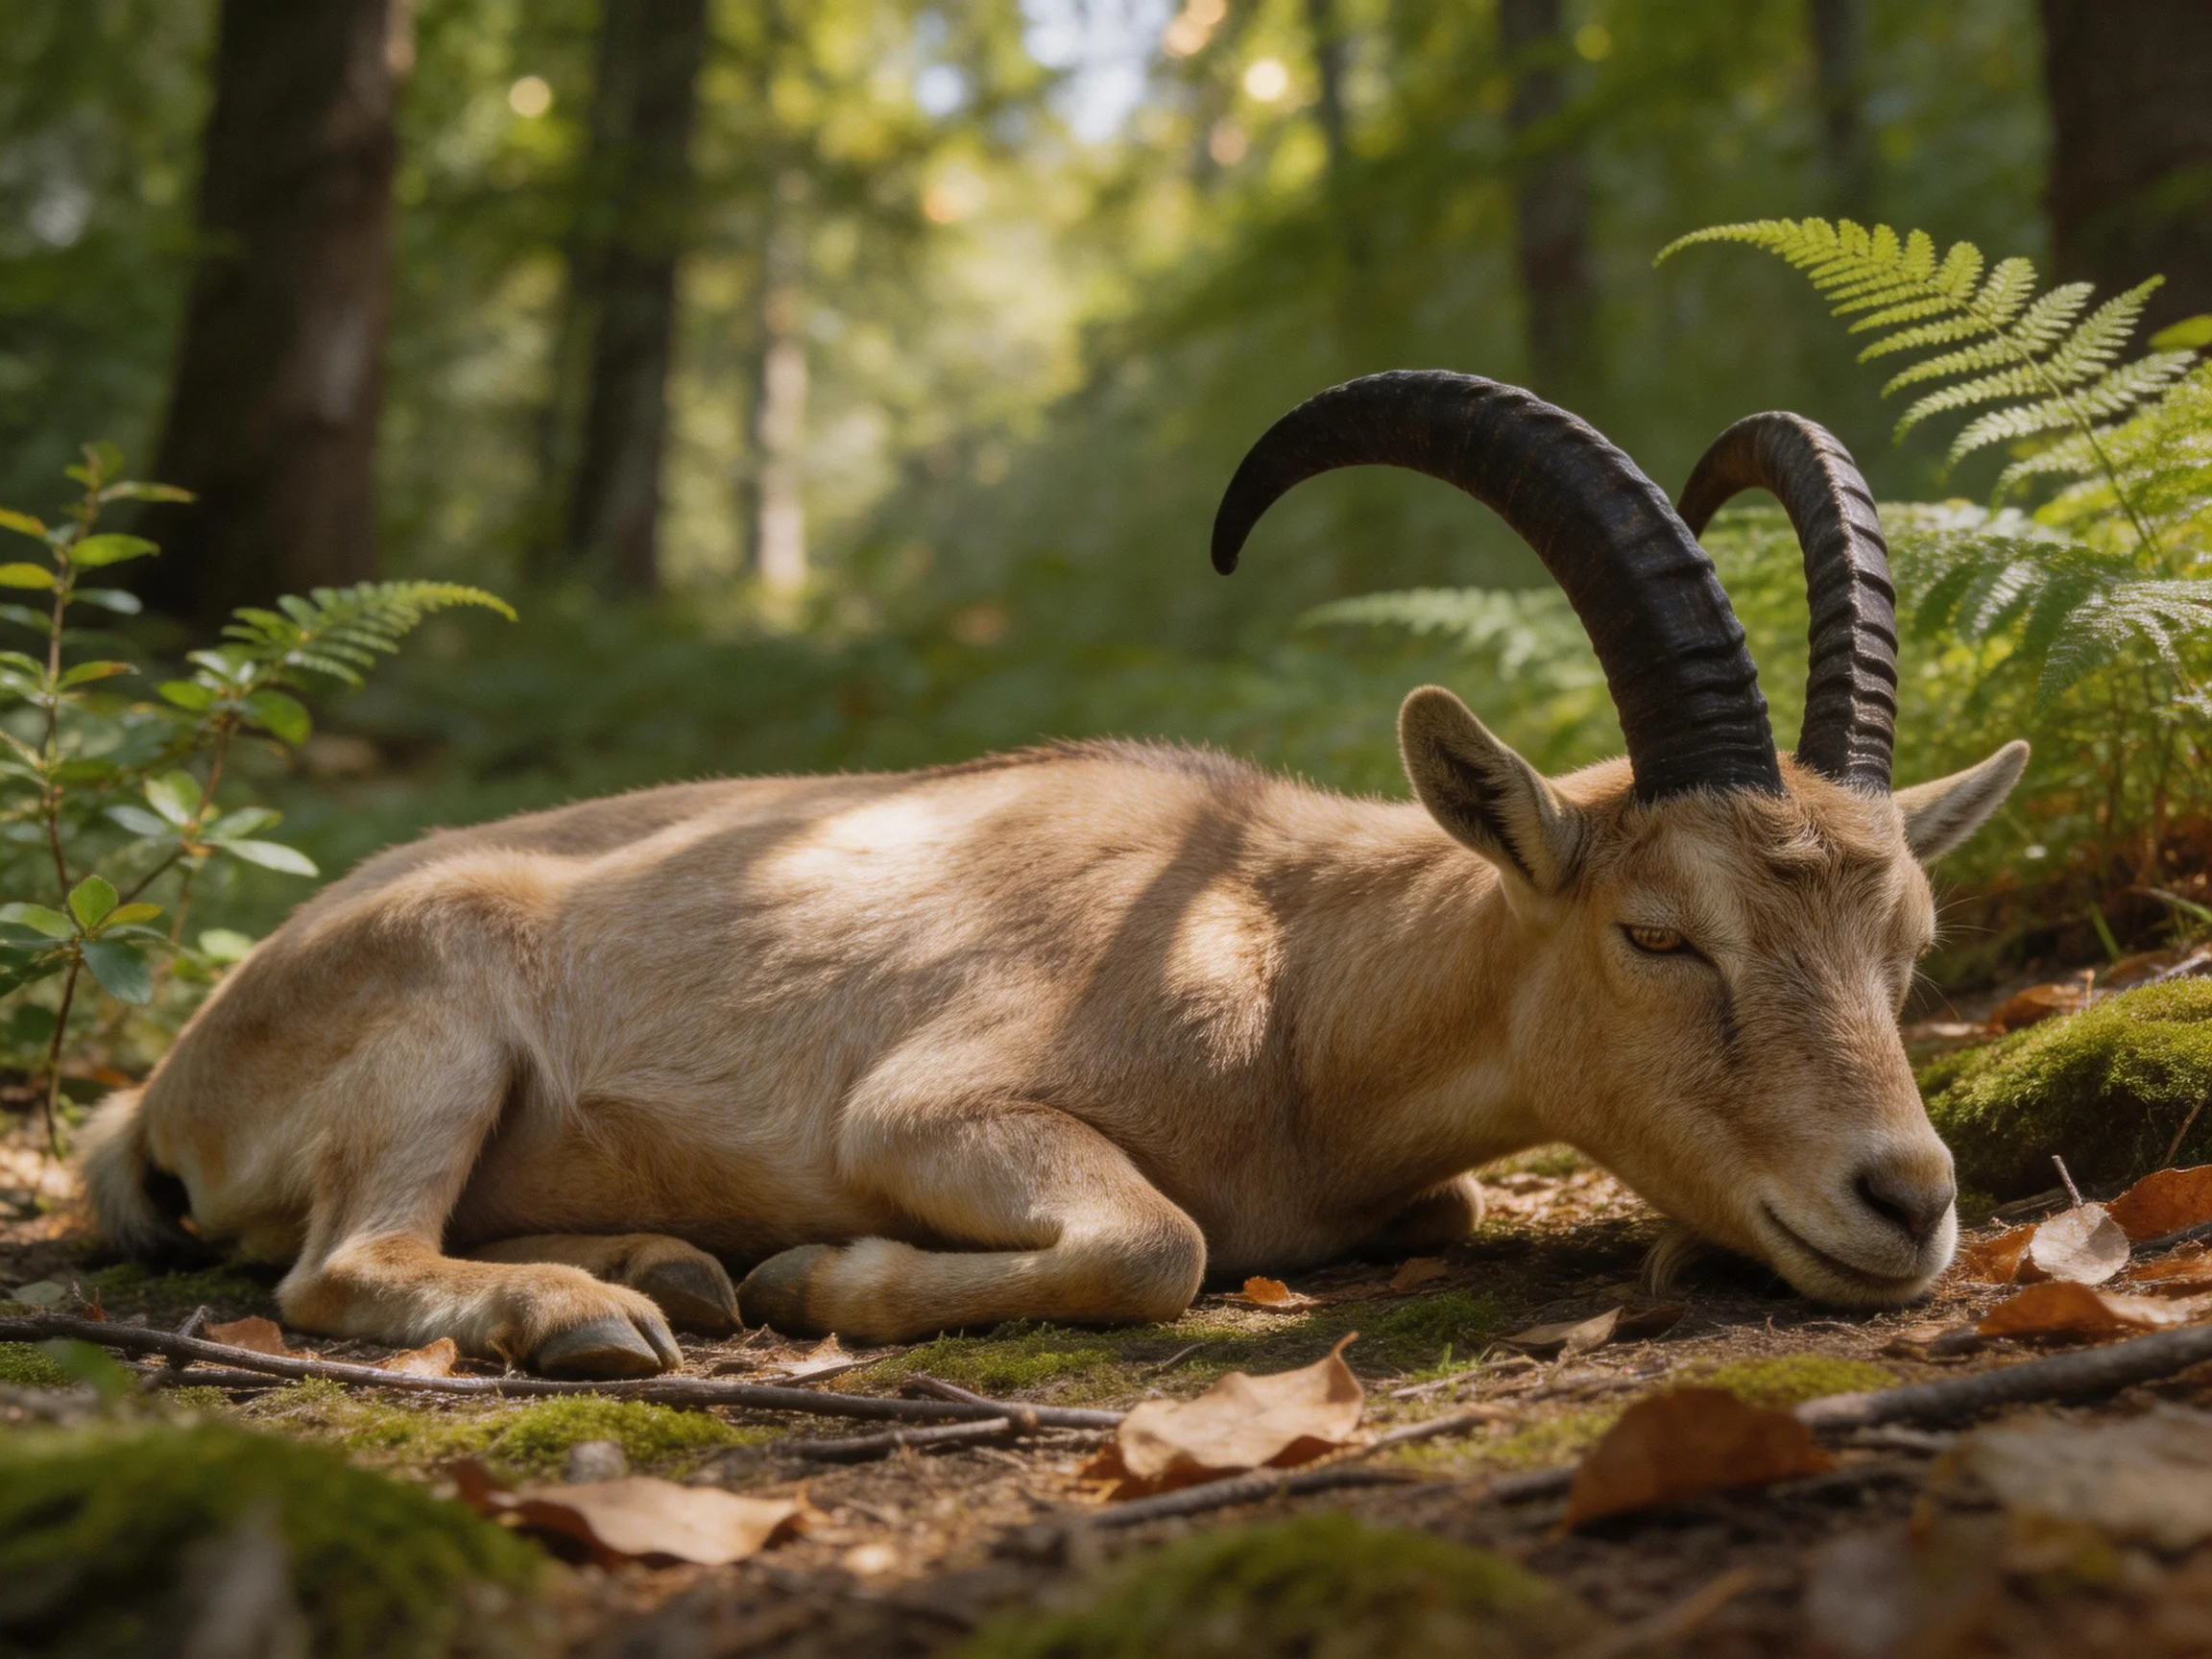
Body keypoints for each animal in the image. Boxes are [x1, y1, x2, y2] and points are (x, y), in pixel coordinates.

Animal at [84, 373, 2024, 1377]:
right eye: (1657, 932)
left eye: (1906, 943)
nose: (1905, 1201)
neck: (1284, 980)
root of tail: (163, 1093)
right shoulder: (940, 1104)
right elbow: (1158, 1244)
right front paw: (820, 1276)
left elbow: (1443, 1209)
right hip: (437, 1020)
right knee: (336, 1267)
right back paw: (606, 1315)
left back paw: (669, 1265)